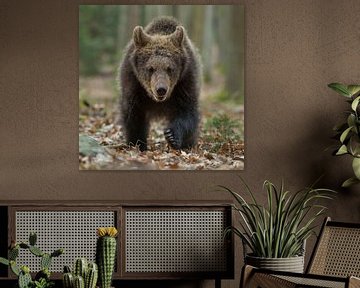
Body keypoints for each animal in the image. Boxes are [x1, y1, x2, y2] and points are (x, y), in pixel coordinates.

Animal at [119, 16, 201, 152]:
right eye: (150, 68)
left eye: (169, 68)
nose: (161, 89)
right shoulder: (133, 83)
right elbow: (134, 115)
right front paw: (137, 143)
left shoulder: (185, 82)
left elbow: (187, 112)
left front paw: (172, 136)